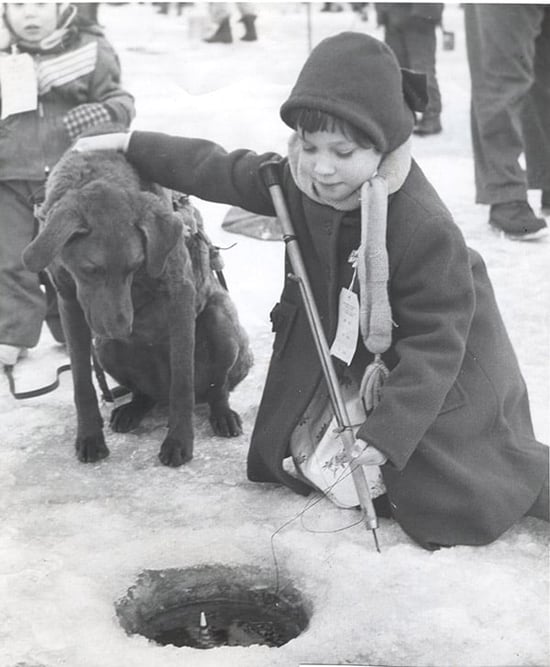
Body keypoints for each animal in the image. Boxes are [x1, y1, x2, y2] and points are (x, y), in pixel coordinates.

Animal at [22, 149, 253, 468]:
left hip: (219, 320)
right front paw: (90, 436)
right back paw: (131, 410)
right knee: (142, 394)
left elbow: (182, 381)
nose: (123, 329)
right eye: (90, 270)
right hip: (104, 347)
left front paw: (179, 440)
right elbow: (82, 382)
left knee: (216, 389)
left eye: (134, 266)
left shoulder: (180, 292)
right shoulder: (68, 301)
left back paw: (223, 415)